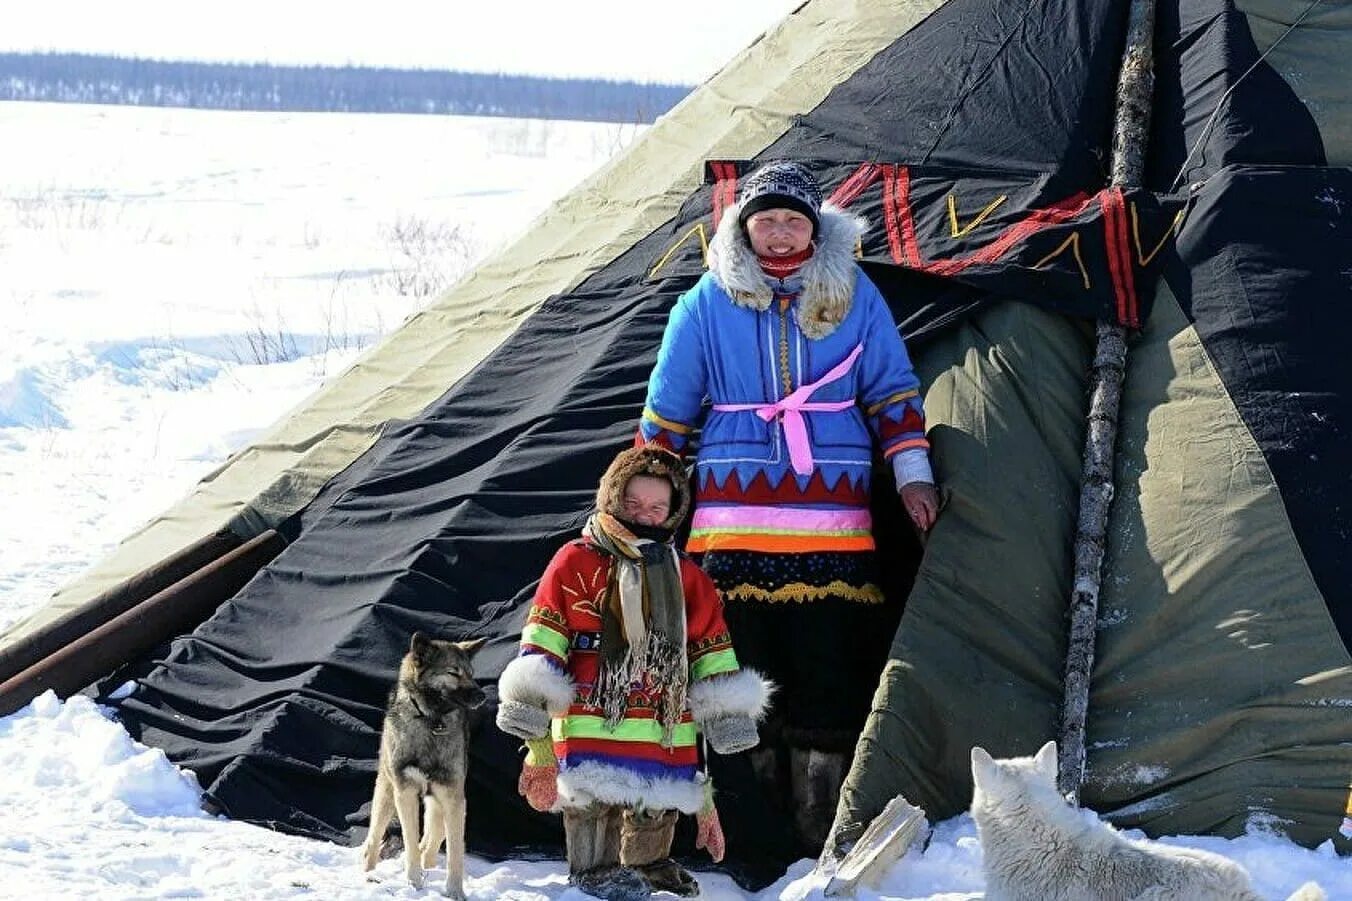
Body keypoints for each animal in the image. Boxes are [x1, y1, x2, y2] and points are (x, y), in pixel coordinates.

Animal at [359, 627, 486, 892]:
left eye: (471, 674)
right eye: (453, 672)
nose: (482, 695)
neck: (432, 721)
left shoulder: (453, 798)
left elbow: (455, 852)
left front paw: (455, 892)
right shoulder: (405, 793)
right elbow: (410, 844)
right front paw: (413, 882)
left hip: (438, 802)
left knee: (430, 844)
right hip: (386, 794)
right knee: (374, 840)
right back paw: (368, 873)